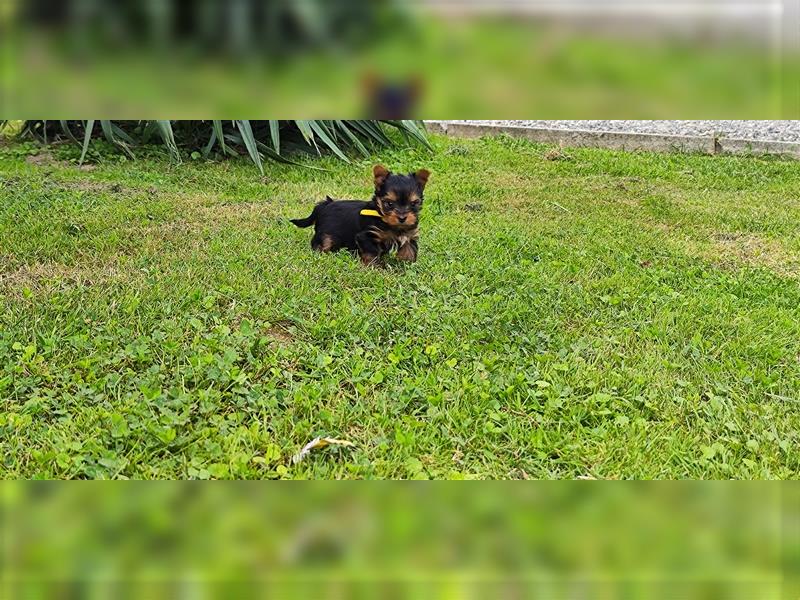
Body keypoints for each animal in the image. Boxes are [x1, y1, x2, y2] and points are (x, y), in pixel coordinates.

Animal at [292, 165, 432, 266]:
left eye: (414, 204)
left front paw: (406, 262)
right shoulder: (366, 235)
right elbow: (371, 253)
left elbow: (409, 248)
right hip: (326, 234)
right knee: (322, 242)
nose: (402, 218)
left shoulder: (410, 234)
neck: (386, 220)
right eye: (389, 204)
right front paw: (375, 267)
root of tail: (325, 204)